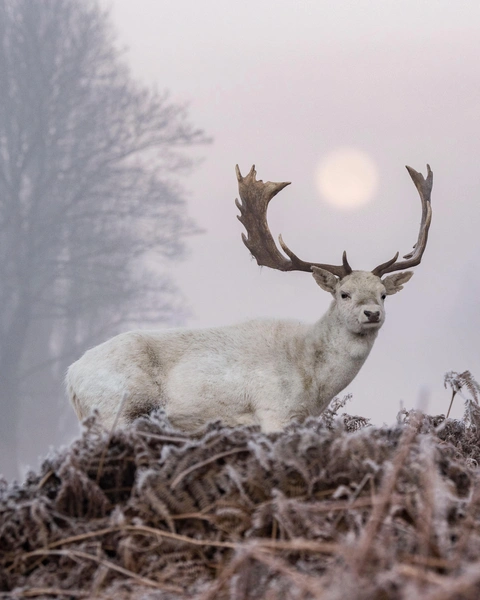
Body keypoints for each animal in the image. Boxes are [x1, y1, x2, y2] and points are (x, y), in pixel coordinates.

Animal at [65, 163, 434, 432]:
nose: (372, 314)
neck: (313, 383)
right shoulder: (273, 411)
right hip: (117, 411)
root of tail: (71, 377)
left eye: (383, 294)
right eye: (344, 293)